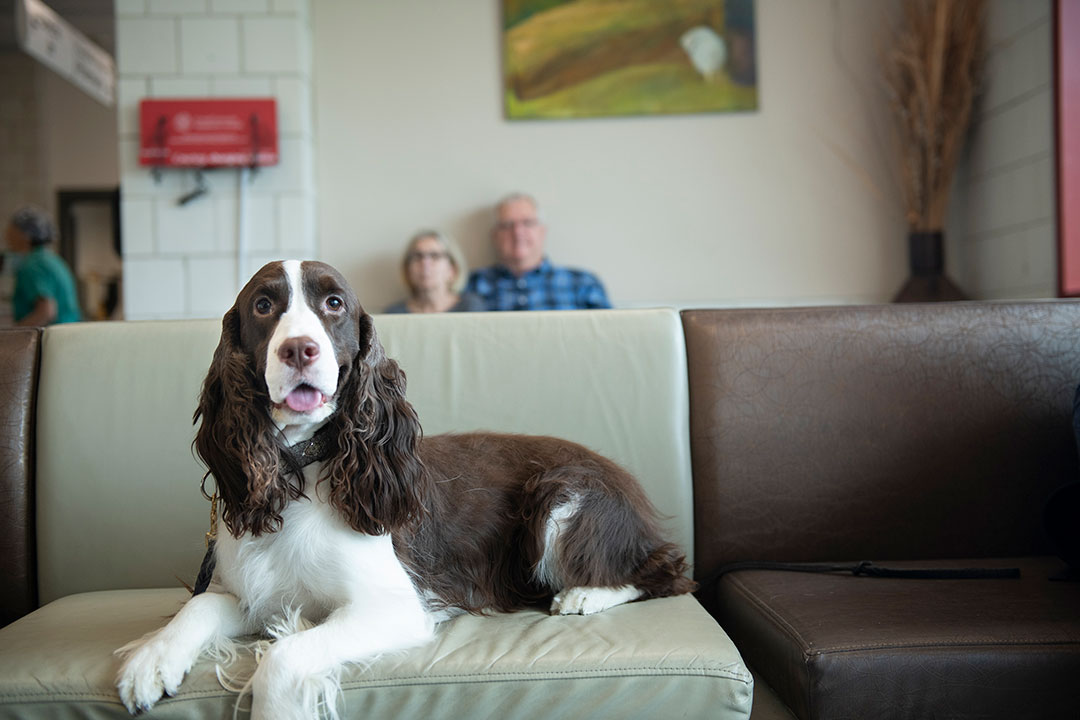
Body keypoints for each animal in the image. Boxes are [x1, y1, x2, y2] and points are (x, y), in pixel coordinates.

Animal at [116, 260, 691, 720]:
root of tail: (627, 482)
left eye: (334, 303)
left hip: (561, 499)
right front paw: (151, 658)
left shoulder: (391, 606)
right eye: (263, 305)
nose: (299, 349)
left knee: (665, 571)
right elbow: (199, 608)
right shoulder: (254, 596)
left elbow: (281, 658)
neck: (300, 469)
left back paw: (585, 594)